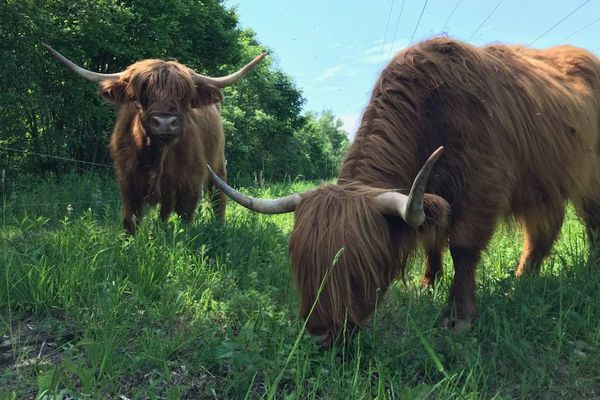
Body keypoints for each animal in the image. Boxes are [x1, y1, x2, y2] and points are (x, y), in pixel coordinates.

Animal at [43, 44, 264, 234]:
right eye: (143, 94)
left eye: (184, 97)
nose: (164, 122)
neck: (156, 154)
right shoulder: (128, 180)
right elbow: (131, 220)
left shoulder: (190, 181)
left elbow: (185, 217)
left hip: (217, 163)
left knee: (217, 197)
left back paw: (218, 227)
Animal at [207, 36, 600, 344]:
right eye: (300, 265)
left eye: (356, 270)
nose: (319, 334)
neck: (430, 111)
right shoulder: (428, 196)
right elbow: (431, 240)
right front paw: (428, 284)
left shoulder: (481, 186)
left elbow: (462, 247)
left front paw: (458, 317)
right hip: (543, 182)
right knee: (544, 227)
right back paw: (522, 278)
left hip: (589, 179)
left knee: (589, 221)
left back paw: (588, 272)